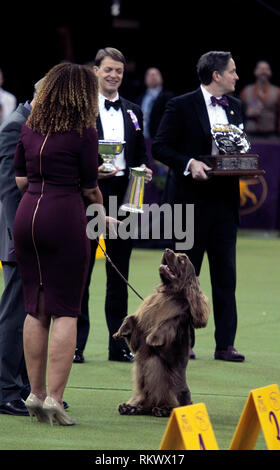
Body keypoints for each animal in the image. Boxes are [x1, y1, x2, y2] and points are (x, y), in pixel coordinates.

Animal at [112, 248, 209, 416]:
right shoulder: (141, 327)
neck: (168, 292)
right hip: (141, 391)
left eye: (182, 259)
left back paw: (162, 410)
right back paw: (129, 407)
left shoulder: (176, 320)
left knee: (174, 405)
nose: (166, 249)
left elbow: (165, 324)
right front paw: (120, 331)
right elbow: (131, 319)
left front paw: (153, 339)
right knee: (143, 404)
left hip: (171, 390)